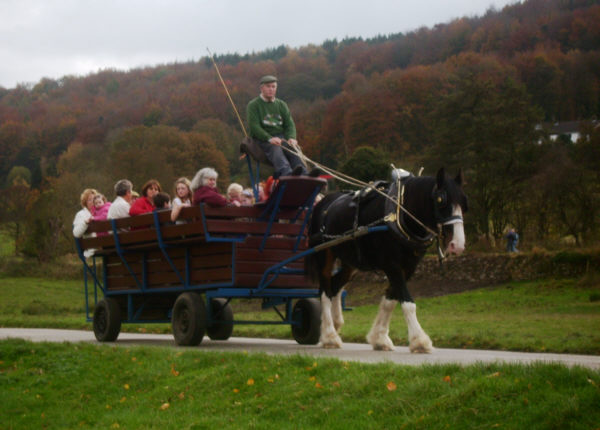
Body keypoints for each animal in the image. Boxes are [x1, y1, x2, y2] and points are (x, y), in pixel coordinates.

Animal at [304, 168, 468, 352]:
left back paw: (335, 323)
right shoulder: (392, 265)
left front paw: (380, 338)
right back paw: (329, 335)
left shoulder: (408, 267)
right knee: (325, 291)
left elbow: (391, 301)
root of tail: (323, 202)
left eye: (464, 202)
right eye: (441, 200)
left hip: (350, 263)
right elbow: (408, 303)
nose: (457, 244)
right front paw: (419, 340)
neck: (399, 214)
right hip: (324, 255)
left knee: (334, 286)